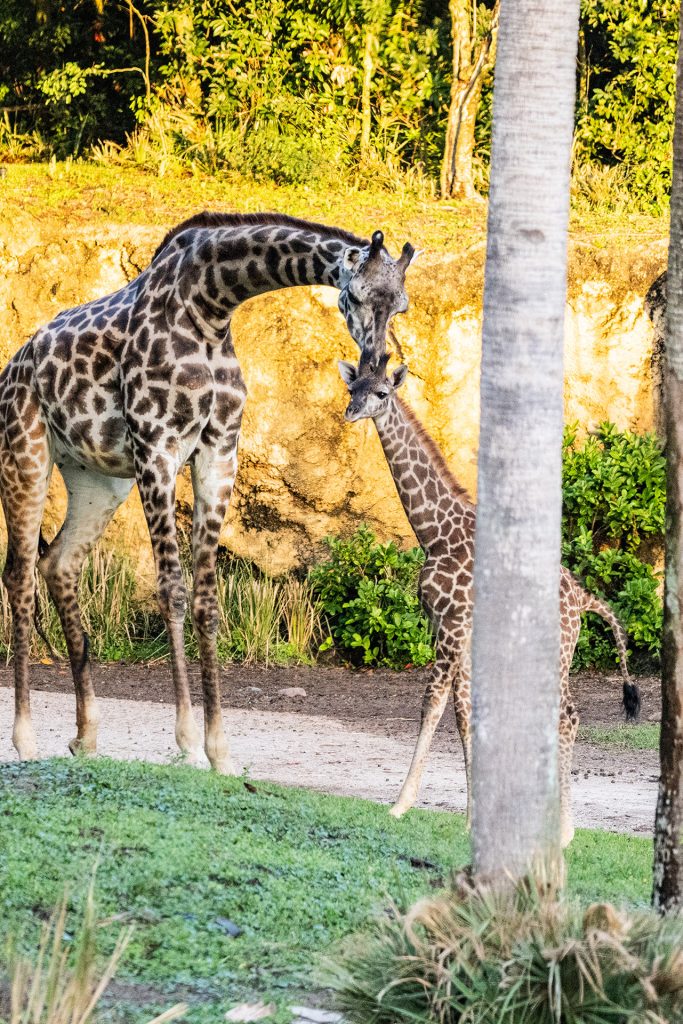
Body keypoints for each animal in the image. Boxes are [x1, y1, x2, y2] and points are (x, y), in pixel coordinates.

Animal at [0, 212, 416, 769]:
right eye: (355, 293)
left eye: (401, 305)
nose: (372, 367)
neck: (211, 307)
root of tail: (13, 369)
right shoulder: (157, 448)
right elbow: (172, 591)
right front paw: (188, 742)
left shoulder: (219, 453)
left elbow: (207, 599)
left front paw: (220, 749)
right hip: (26, 456)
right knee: (20, 576)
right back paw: (25, 739)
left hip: (98, 480)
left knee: (59, 563)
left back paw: (86, 736)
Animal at [338, 355, 641, 847]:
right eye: (353, 388)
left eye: (381, 393)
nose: (350, 413)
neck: (435, 535)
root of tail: (583, 598)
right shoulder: (450, 628)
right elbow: (464, 713)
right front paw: (469, 818)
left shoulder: (452, 625)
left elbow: (433, 704)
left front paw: (400, 805)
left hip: (556, 650)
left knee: (568, 714)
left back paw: (563, 833)